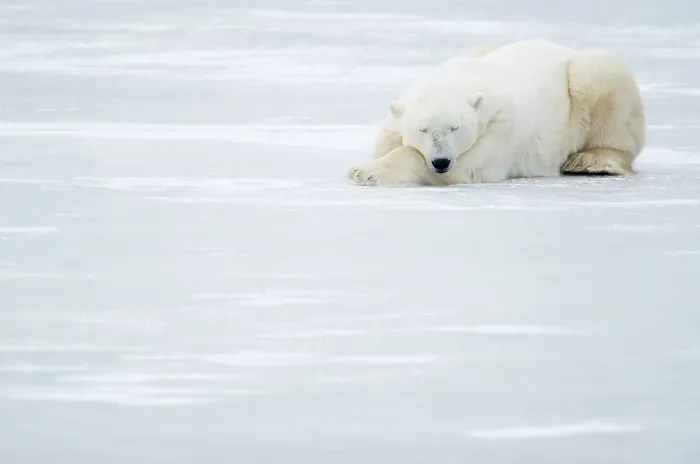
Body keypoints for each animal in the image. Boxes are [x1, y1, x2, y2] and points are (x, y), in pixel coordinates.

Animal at [347, 39, 646, 186]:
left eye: (455, 128)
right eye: (423, 129)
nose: (441, 161)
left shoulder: (502, 125)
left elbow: (468, 166)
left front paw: (365, 172)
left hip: (588, 77)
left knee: (601, 77)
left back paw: (592, 162)